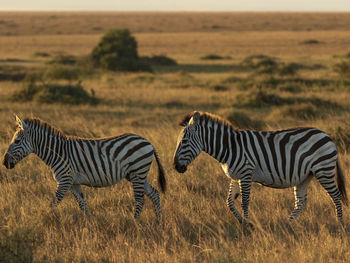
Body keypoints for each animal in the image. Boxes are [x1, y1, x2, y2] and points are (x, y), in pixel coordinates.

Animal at [2, 116, 167, 220]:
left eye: (17, 141)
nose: (4, 163)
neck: (58, 152)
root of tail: (148, 142)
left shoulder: (65, 180)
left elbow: (53, 203)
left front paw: (44, 219)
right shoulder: (73, 183)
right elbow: (82, 204)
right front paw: (88, 224)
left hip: (138, 171)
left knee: (140, 200)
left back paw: (135, 223)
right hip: (136, 175)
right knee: (154, 194)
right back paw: (159, 222)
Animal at [174, 112, 348, 226]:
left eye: (184, 141)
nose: (176, 167)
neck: (230, 147)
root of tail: (327, 136)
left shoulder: (246, 173)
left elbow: (244, 202)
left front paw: (246, 225)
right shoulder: (235, 176)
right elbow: (229, 202)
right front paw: (244, 222)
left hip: (323, 170)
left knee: (336, 196)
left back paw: (340, 224)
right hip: (305, 176)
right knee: (301, 202)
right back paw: (288, 224)